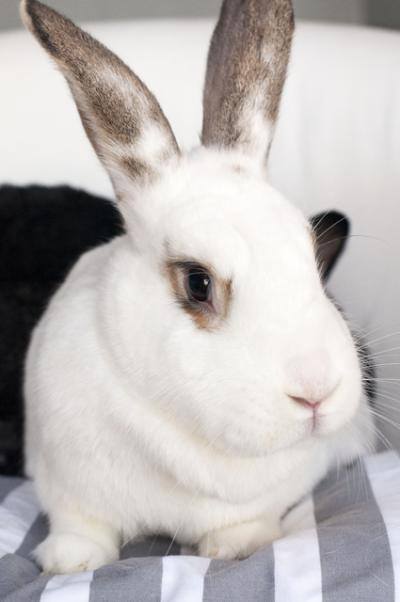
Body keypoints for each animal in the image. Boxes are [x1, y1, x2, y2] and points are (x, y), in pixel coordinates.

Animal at [20, 0, 375, 573]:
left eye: (314, 263)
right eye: (198, 282)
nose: (316, 392)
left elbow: (243, 524)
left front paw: (237, 547)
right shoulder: (66, 485)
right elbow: (82, 526)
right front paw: (70, 562)